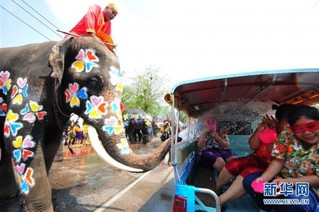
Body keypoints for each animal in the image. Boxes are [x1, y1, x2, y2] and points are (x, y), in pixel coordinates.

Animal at [0, 37, 171, 211]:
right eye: (94, 82)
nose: (170, 137)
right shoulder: (28, 87)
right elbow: (20, 140)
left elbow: (49, 144)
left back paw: (10, 195)